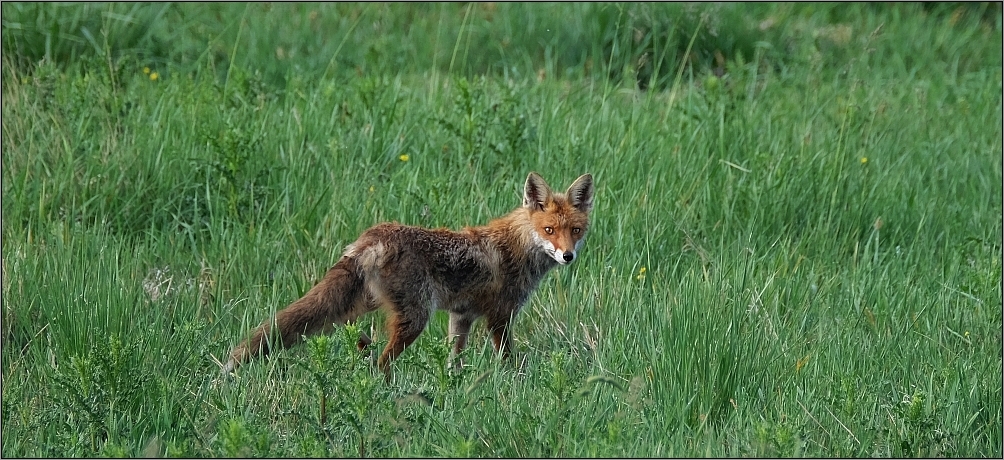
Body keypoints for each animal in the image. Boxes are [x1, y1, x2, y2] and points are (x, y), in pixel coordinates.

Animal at [223, 172, 590, 377]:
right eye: (549, 230)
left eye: (574, 230)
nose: (568, 256)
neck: (519, 245)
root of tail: (371, 237)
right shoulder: (500, 317)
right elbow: (509, 363)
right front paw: (513, 387)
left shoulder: (462, 316)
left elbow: (454, 360)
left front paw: (453, 388)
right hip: (415, 317)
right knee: (381, 363)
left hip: (359, 307)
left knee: (349, 334)